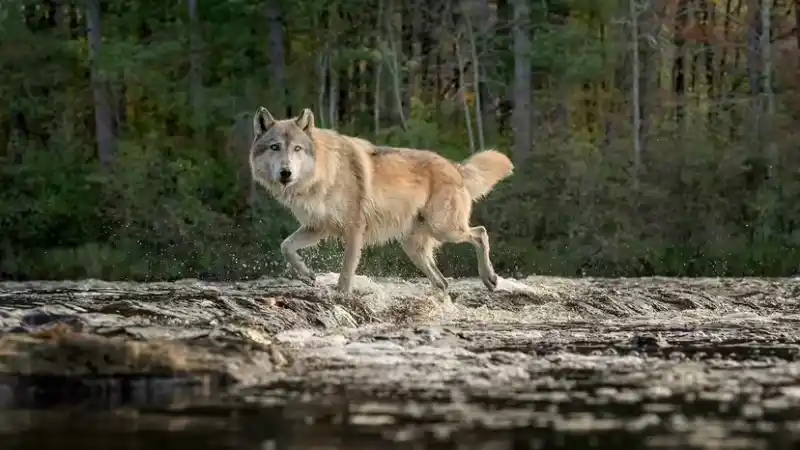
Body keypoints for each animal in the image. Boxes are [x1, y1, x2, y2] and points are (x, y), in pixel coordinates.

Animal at [249, 106, 514, 295]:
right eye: (274, 147)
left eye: (297, 149)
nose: (285, 173)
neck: (324, 175)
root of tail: (455, 167)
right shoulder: (318, 227)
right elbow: (286, 246)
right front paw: (307, 274)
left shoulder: (354, 229)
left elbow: (346, 271)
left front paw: (341, 296)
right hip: (413, 246)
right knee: (442, 282)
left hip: (445, 229)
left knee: (480, 233)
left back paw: (489, 279)